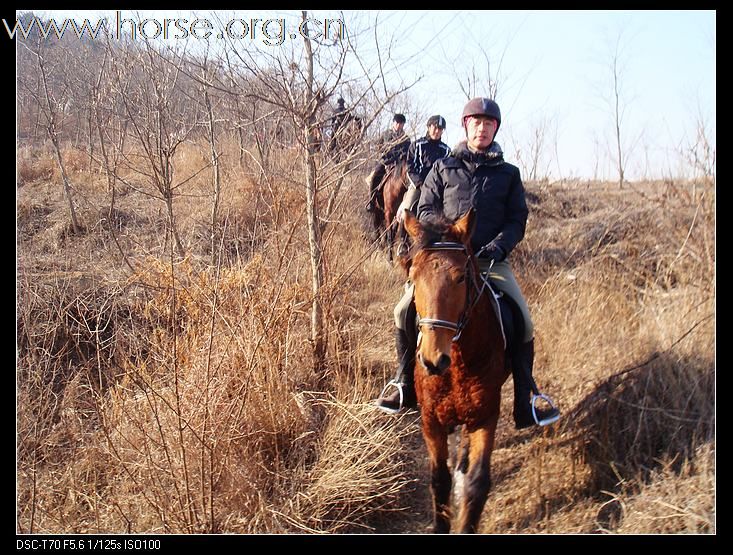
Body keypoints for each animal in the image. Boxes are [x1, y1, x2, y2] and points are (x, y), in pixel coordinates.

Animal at [400, 208, 508, 536]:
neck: (457, 367)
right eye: (413, 276)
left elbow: (477, 483)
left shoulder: (486, 416)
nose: (433, 360)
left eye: (461, 277)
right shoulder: (430, 420)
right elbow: (439, 479)